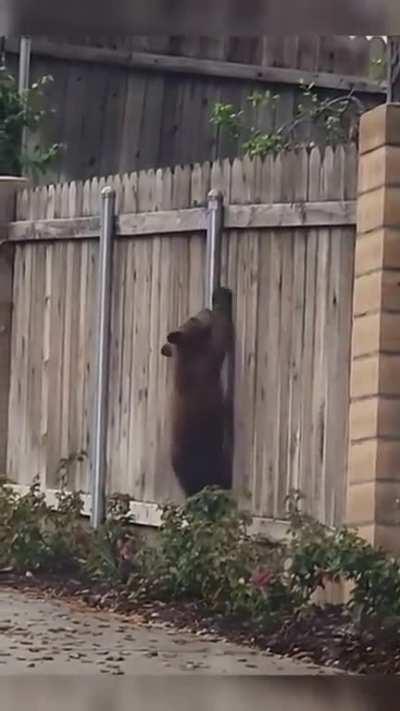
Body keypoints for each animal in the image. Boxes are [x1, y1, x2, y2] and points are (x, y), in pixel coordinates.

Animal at [161, 288, 233, 497]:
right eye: (193, 318)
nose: (205, 310)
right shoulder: (205, 362)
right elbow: (222, 334)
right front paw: (221, 296)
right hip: (205, 452)